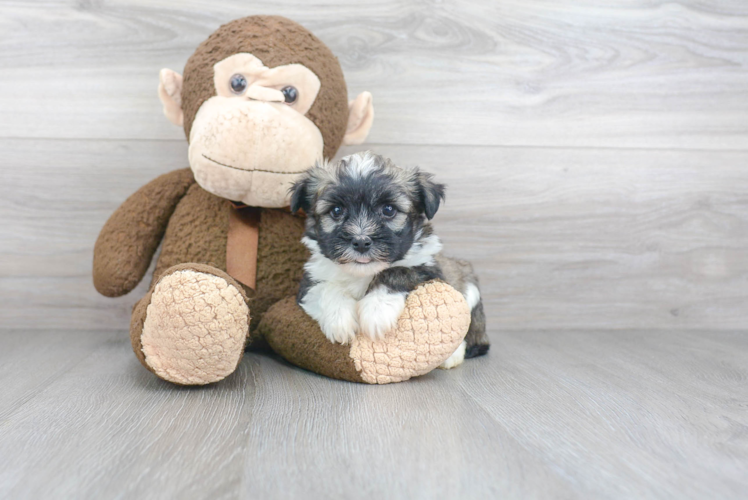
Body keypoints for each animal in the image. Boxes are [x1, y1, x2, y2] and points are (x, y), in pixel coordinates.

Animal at [288, 151, 490, 368]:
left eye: (388, 210)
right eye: (336, 211)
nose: (361, 241)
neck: (363, 274)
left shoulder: (430, 270)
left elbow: (399, 271)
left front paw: (377, 310)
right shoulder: (309, 282)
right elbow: (326, 288)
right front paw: (339, 319)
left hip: (470, 291)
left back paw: (453, 355)